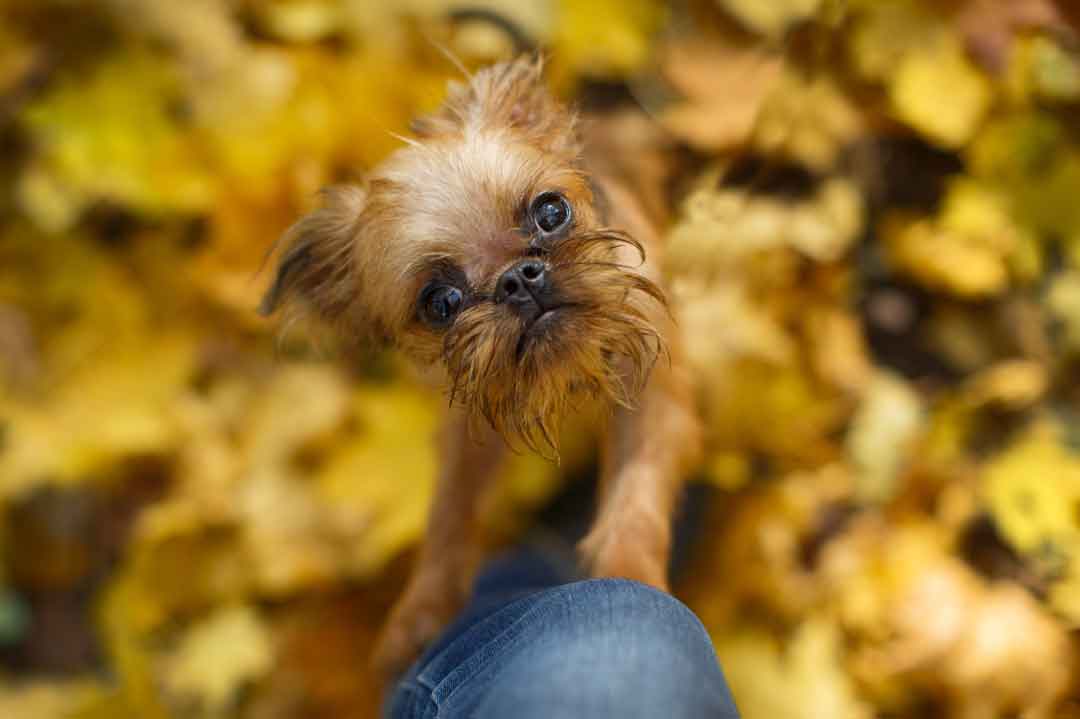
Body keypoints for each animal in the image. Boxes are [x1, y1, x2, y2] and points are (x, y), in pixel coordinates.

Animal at [259, 56, 699, 677]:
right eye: (440, 302)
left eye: (551, 211)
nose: (517, 279)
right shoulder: (472, 423)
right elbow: (448, 511)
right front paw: (422, 611)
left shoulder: (654, 392)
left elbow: (636, 494)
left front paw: (629, 573)